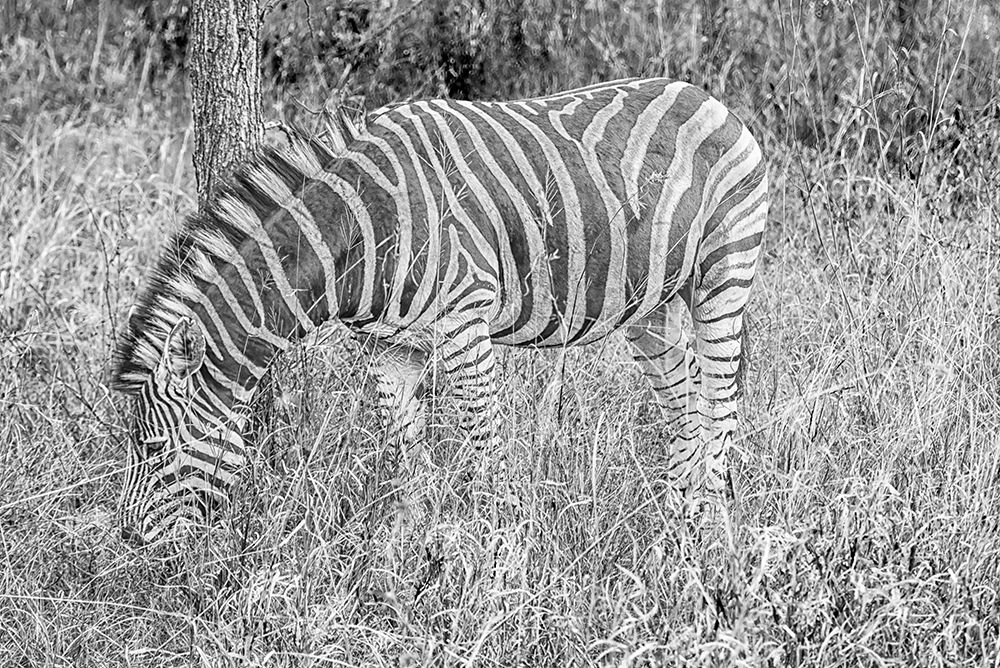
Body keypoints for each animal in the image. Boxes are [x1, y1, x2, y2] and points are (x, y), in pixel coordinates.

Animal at [112, 77, 768, 544]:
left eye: (157, 449)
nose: (130, 542)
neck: (361, 226)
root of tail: (707, 97)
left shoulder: (464, 323)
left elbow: (484, 447)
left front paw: (502, 556)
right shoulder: (387, 346)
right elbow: (406, 455)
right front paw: (411, 552)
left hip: (723, 276)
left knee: (721, 404)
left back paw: (709, 533)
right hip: (649, 306)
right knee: (684, 404)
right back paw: (671, 526)